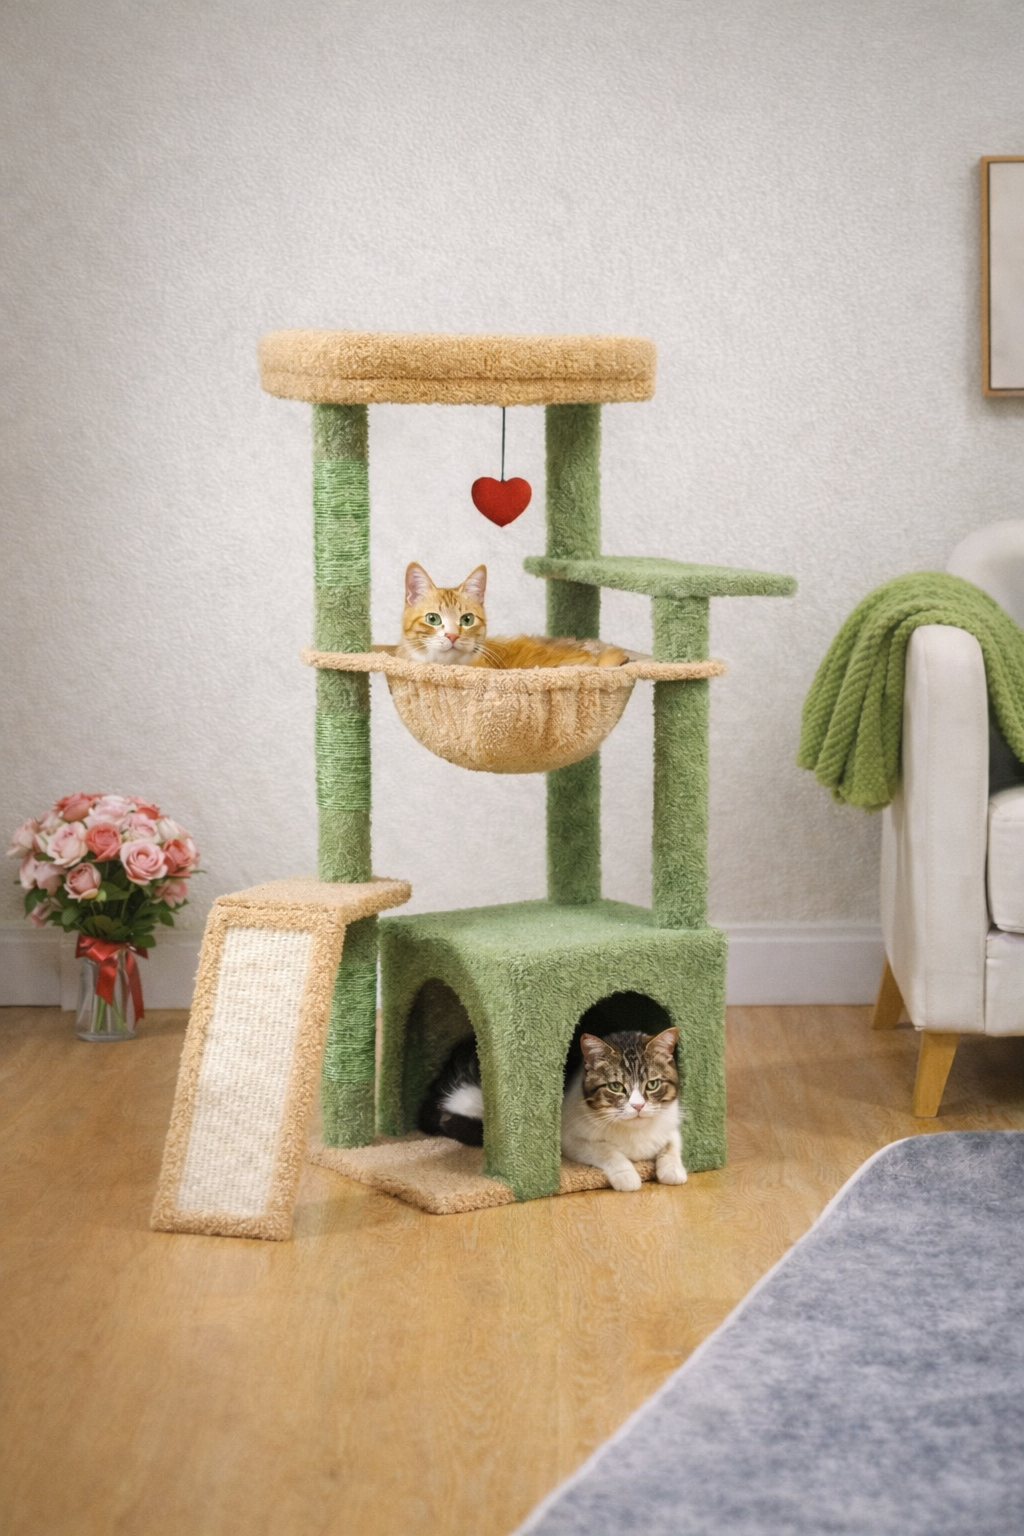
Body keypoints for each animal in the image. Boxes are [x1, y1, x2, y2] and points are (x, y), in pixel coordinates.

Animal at [417, 1028, 687, 1192]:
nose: (638, 1106)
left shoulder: (670, 1122)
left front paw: (673, 1170)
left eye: (652, 1084)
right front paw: (627, 1175)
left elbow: (672, 1145)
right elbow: (607, 1150)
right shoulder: (569, 1138)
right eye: (616, 1087)